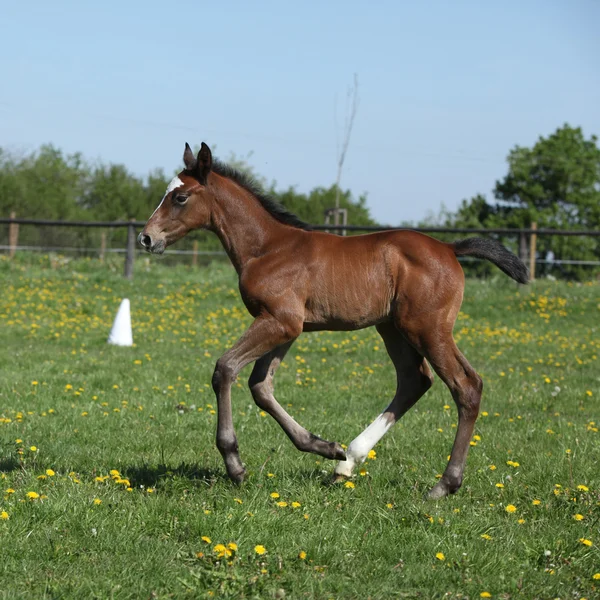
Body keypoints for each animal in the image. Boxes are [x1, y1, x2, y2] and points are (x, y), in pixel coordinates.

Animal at [138, 143, 528, 500]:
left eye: (180, 197)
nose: (146, 237)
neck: (267, 247)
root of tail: (449, 248)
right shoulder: (285, 326)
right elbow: (261, 387)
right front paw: (326, 447)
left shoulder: (280, 322)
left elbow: (225, 369)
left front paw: (234, 464)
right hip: (393, 328)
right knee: (414, 381)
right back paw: (347, 462)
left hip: (427, 328)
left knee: (466, 386)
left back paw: (444, 484)